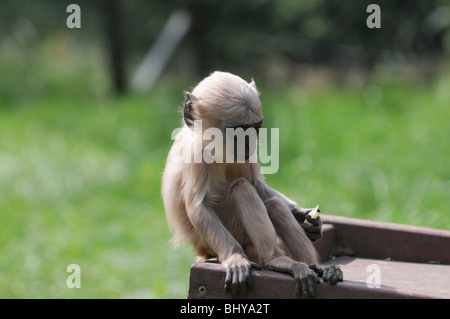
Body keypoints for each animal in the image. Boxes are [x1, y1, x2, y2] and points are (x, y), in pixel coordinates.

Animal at [161, 71, 342, 298]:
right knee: (241, 188)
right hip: (221, 236)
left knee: (272, 203)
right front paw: (235, 258)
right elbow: (198, 207)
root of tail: (201, 250)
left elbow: (256, 184)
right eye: (237, 132)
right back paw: (273, 260)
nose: (248, 143)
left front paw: (306, 217)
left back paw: (314, 266)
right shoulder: (196, 153)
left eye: (254, 129)